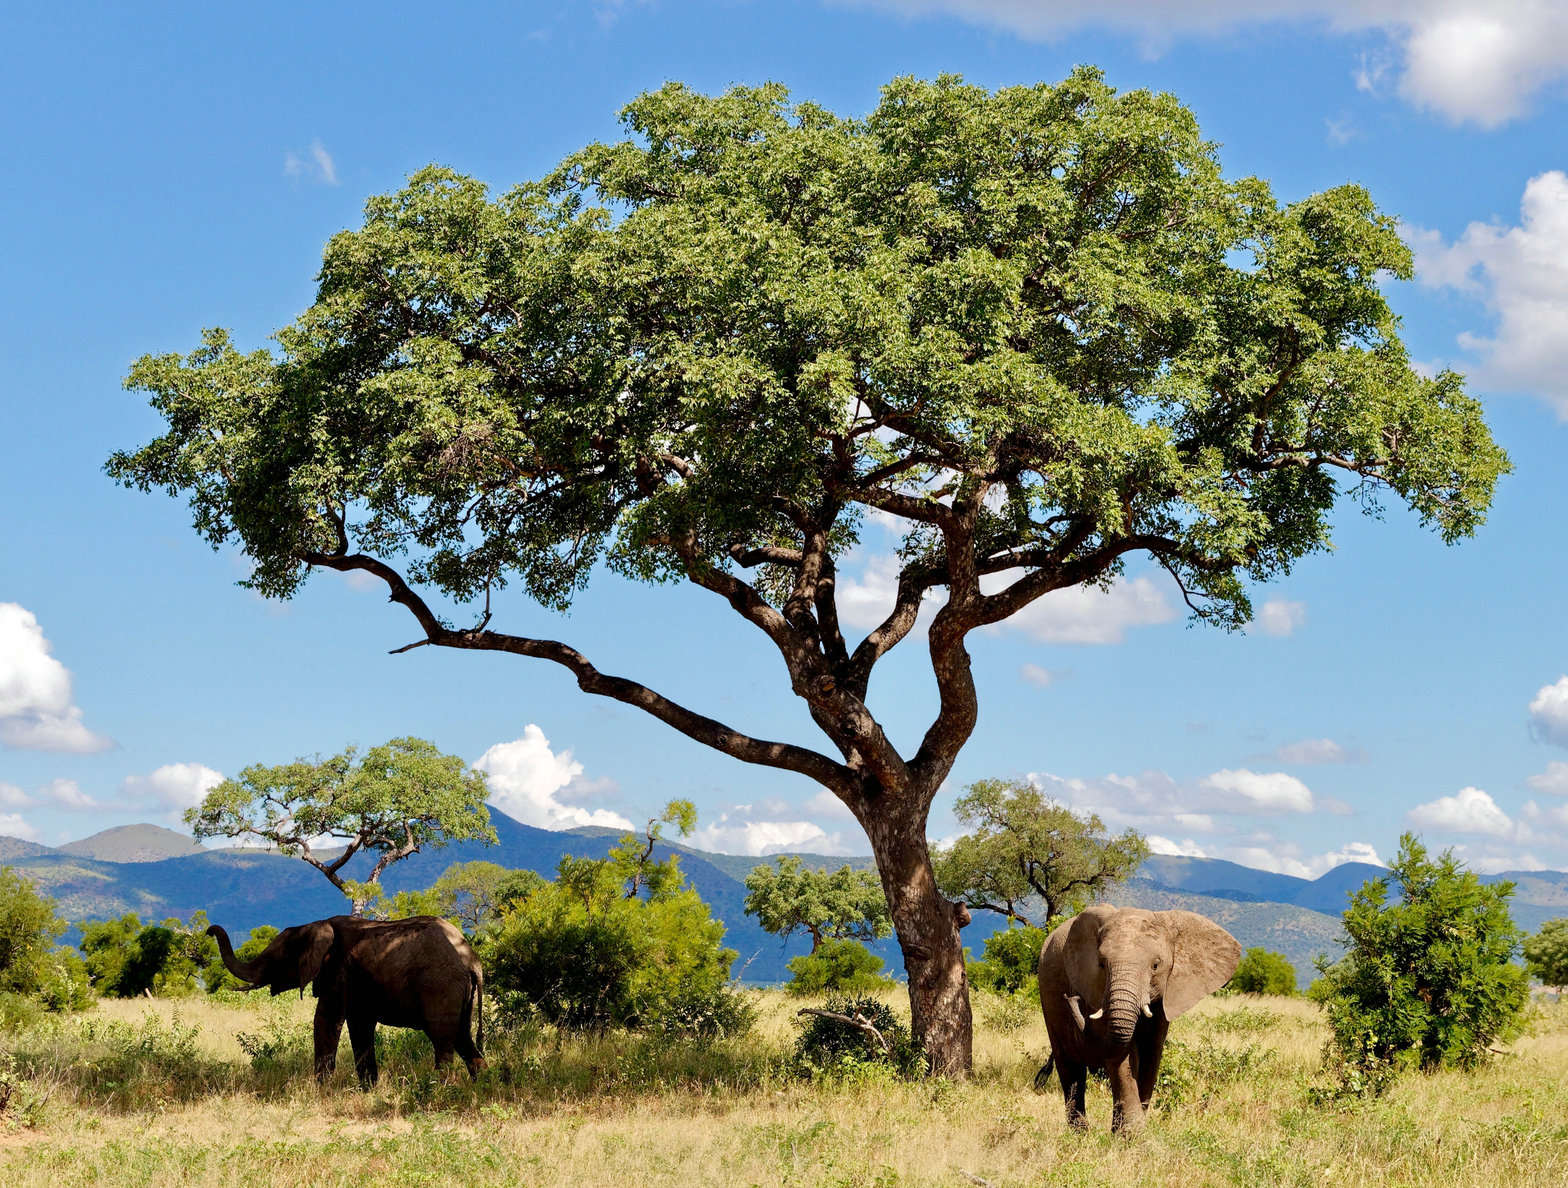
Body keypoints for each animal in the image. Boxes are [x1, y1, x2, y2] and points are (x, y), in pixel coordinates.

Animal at [208, 915, 485, 1087]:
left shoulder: (338, 972)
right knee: (462, 1037)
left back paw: (440, 1088)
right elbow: (360, 1026)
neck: (316, 925)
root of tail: (472, 962)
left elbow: (325, 1021)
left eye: (275, 959)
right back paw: (481, 1084)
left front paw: (320, 1090)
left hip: (440, 987)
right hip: (460, 993)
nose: (210, 930)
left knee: (442, 1038)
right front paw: (368, 1089)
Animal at [1035, 905, 1241, 1133]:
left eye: (1155, 965)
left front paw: (1129, 1131)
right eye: (1102, 965)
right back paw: (1080, 1134)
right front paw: (1131, 1133)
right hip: (1048, 999)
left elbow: (1152, 1053)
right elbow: (1123, 1055)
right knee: (1070, 1071)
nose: (1072, 998)